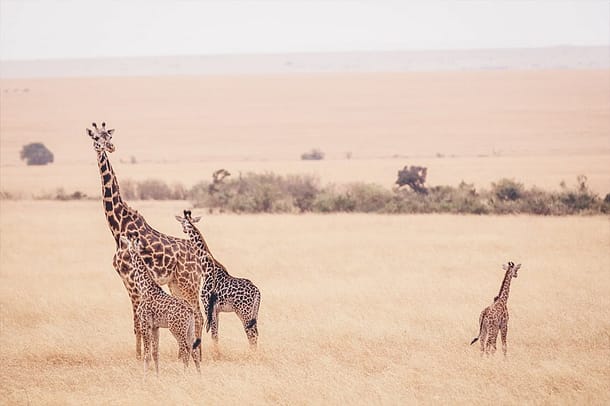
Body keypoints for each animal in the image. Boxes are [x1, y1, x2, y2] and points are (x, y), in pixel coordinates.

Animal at [85, 122, 202, 356]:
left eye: (108, 136)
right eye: (95, 138)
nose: (110, 147)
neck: (117, 227)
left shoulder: (131, 280)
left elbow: (138, 322)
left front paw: (140, 357)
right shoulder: (126, 281)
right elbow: (135, 323)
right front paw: (140, 356)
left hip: (189, 283)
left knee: (200, 315)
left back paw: (206, 353)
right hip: (176, 284)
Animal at [120, 233, 201, 376]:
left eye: (128, 240)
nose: (121, 238)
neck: (144, 287)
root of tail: (190, 311)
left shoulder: (145, 323)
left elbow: (147, 354)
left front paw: (145, 377)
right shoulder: (155, 327)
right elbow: (155, 353)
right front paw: (157, 376)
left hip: (176, 329)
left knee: (185, 350)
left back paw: (184, 374)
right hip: (189, 329)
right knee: (193, 350)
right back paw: (199, 375)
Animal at [176, 211, 262, 348]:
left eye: (186, 223)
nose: (185, 229)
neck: (206, 267)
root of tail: (257, 292)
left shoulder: (207, 306)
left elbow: (214, 335)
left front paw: (216, 353)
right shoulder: (216, 310)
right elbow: (216, 334)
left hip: (244, 312)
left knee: (251, 335)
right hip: (254, 313)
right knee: (255, 333)